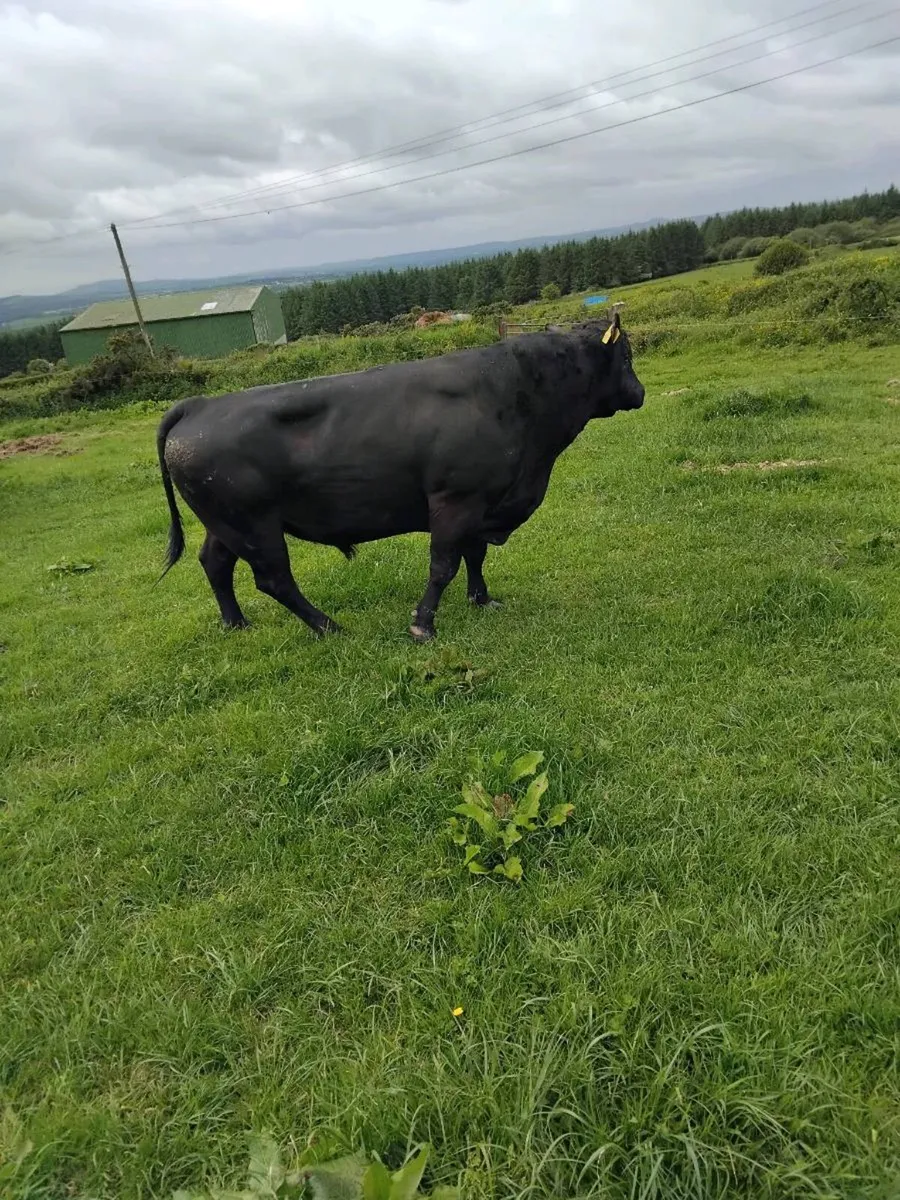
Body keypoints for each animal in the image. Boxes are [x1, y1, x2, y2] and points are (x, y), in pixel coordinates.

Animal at [156, 313, 645, 642]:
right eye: (626, 354)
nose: (639, 392)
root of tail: (200, 404)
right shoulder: (456, 500)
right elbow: (444, 564)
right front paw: (422, 623)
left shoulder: (484, 501)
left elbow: (475, 555)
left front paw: (482, 599)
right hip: (254, 525)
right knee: (274, 579)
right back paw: (329, 626)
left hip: (226, 523)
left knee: (215, 563)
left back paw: (236, 622)